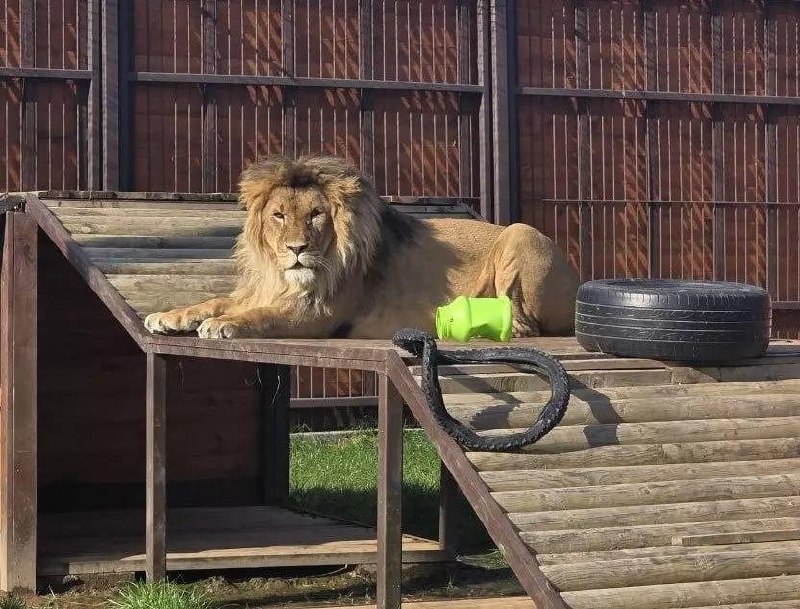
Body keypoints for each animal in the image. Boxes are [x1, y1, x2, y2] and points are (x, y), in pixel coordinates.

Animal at [144, 156, 579, 340]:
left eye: (316, 214)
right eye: (279, 215)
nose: (297, 249)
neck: (283, 276)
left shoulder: (317, 315)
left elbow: (262, 316)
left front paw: (225, 324)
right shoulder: (263, 289)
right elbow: (215, 300)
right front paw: (170, 316)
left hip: (521, 235)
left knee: (526, 325)